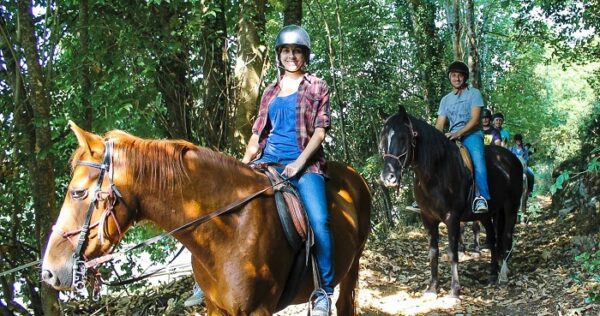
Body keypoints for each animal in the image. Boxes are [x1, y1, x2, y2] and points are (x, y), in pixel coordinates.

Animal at [42, 122, 370, 314]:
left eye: (78, 193)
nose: (49, 272)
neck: (230, 230)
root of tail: (354, 176)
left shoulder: (258, 311)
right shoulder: (217, 308)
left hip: (351, 267)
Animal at [382, 107, 524, 298]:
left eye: (403, 138)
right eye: (383, 138)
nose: (387, 178)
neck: (436, 172)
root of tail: (511, 158)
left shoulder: (452, 218)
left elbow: (452, 252)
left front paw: (454, 290)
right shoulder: (428, 218)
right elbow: (433, 252)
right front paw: (432, 287)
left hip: (511, 207)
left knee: (507, 236)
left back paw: (503, 274)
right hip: (488, 213)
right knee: (493, 238)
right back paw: (493, 274)